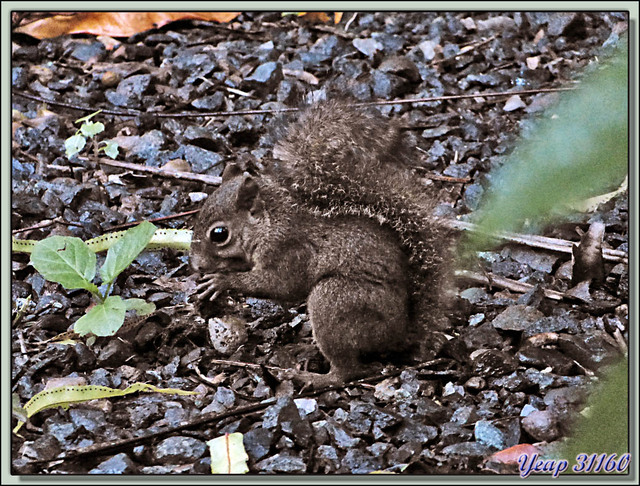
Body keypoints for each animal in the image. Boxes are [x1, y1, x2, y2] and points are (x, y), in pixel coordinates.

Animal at [188, 98, 452, 388]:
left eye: (219, 234)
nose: (196, 264)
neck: (269, 224)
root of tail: (401, 335)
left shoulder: (288, 250)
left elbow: (279, 285)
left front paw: (221, 281)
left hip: (334, 299)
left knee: (346, 371)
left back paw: (311, 377)